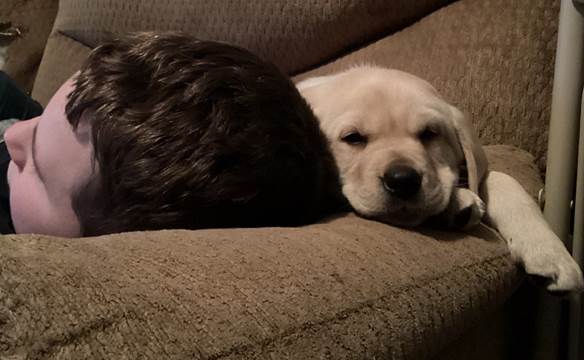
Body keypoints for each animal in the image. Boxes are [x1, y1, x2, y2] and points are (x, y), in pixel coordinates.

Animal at [298, 66, 580, 294]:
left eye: (430, 133)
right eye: (352, 138)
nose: (403, 180)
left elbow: (502, 177)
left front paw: (549, 251)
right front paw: (459, 201)